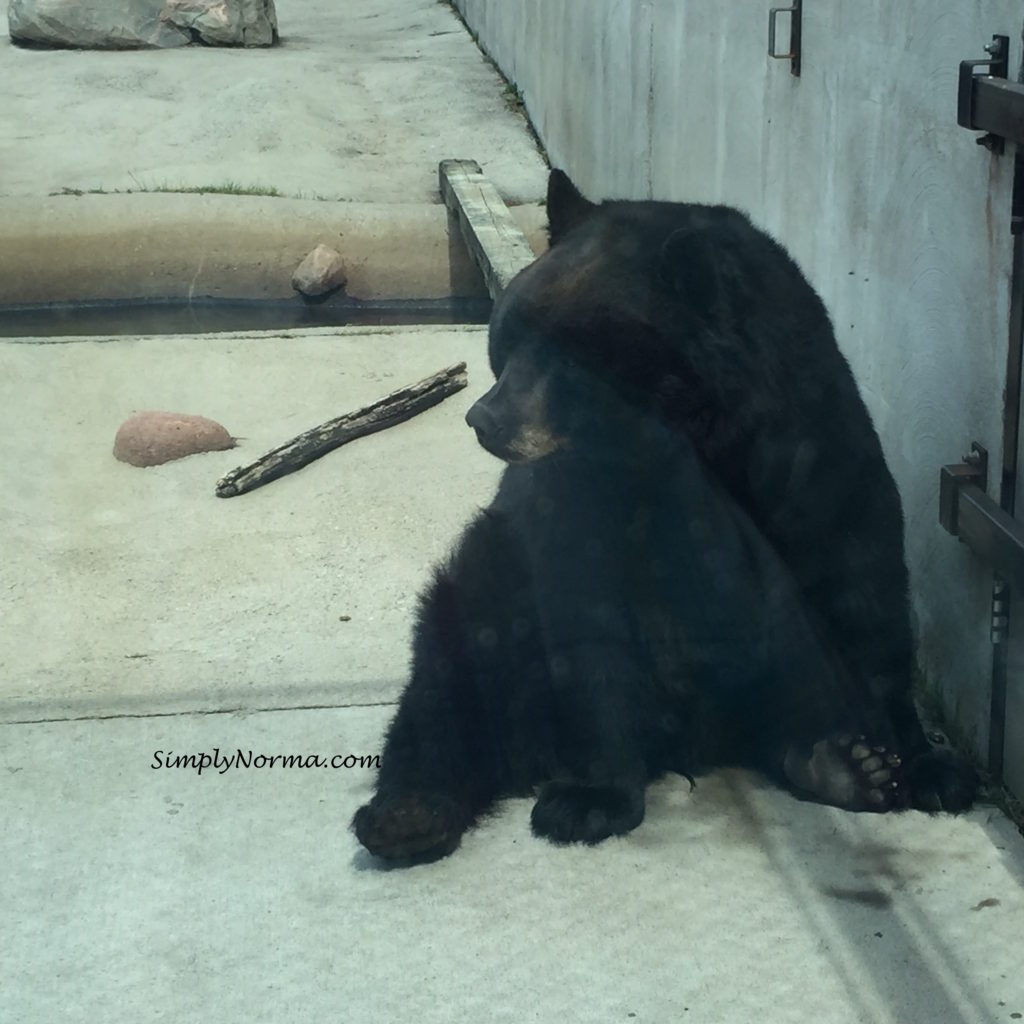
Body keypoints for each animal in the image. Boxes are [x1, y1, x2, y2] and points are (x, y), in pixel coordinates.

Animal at [354, 174, 974, 864]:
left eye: (568, 358)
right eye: (507, 338)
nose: (485, 420)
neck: (676, 441)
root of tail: (692, 743)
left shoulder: (812, 452)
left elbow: (862, 591)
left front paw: (927, 766)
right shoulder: (583, 499)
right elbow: (591, 624)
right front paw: (590, 798)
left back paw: (836, 765)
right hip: (494, 578)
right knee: (455, 665)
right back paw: (409, 812)